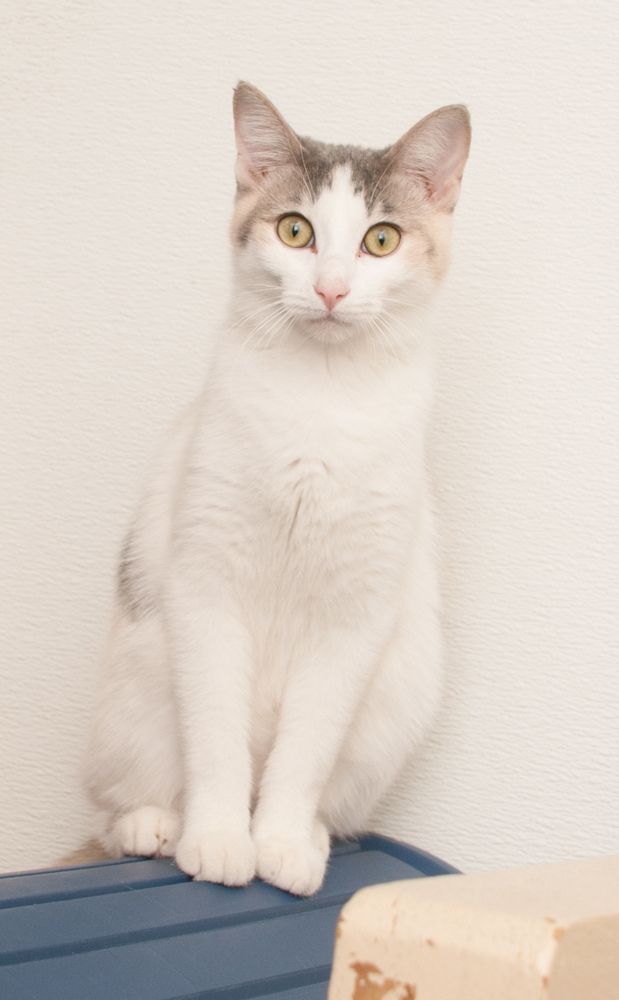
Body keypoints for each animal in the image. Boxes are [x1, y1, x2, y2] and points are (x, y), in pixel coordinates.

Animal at [82, 82, 472, 896]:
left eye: (381, 241)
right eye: (295, 231)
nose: (329, 289)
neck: (317, 400)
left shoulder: (357, 618)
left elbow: (305, 755)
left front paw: (282, 843)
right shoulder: (204, 587)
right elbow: (216, 740)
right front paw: (219, 838)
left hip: (397, 702)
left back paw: (314, 835)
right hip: (131, 694)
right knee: (116, 801)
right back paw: (152, 826)